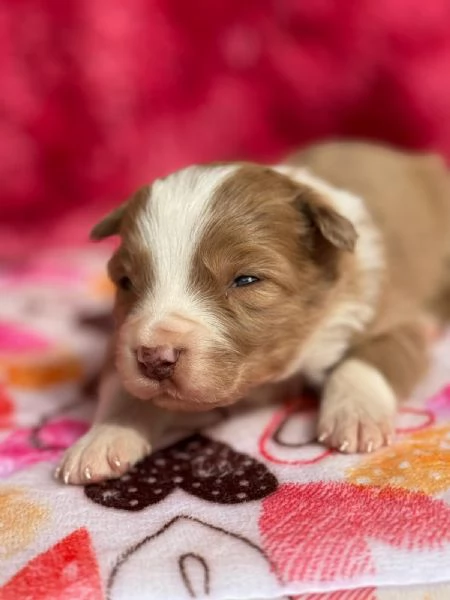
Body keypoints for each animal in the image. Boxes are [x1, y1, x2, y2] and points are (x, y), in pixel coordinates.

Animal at [56, 139, 450, 482]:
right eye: (125, 282)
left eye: (246, 280)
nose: (154, 358)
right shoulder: (122, 338)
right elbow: (123, 386)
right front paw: (102, 439)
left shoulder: (388, 311)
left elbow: (371, 358)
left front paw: (355, 415)